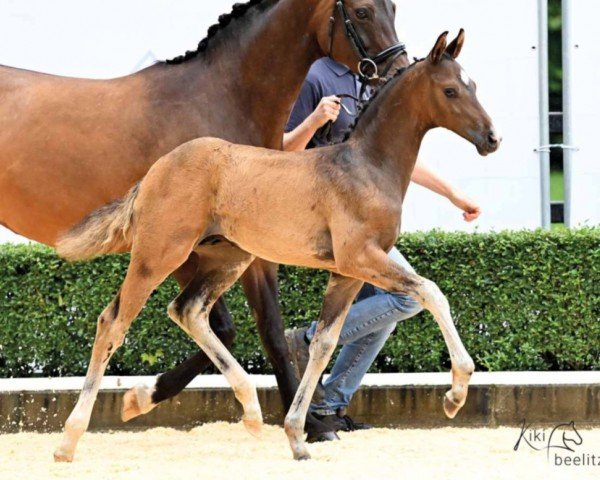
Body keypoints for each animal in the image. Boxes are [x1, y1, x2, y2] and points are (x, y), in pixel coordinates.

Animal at [56, 31, 500, 462]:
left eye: (474, 85)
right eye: (450, 91)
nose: (492, 138)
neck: (367, 167)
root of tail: (155, 171)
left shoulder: (347, 273)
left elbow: (324, 342)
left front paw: (297, 437)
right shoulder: (361, 257)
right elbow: (432, 292)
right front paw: (456, 393)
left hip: (228, 258)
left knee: (188, 310)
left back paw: (237, 409)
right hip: (158, 254)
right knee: (113, 322)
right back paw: (69, 440)